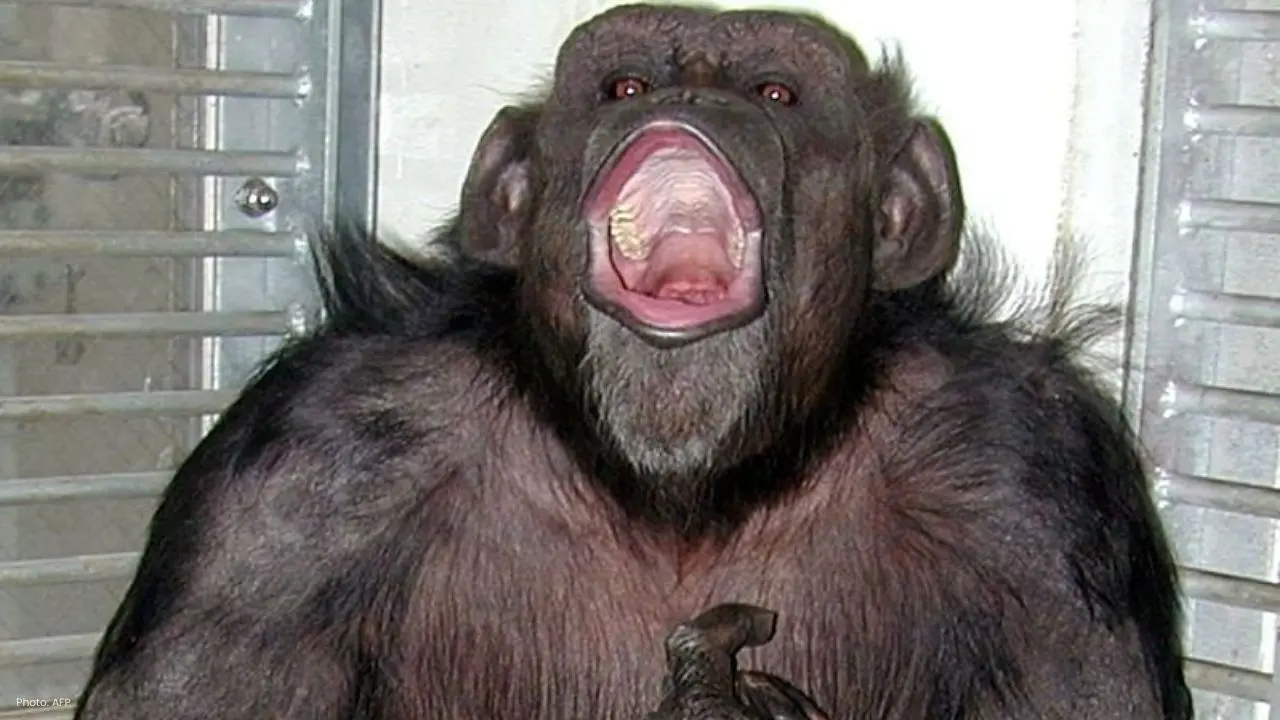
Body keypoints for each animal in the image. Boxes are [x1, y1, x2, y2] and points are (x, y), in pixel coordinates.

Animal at [73, 3, 1193, 719]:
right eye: (623, 82)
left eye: (775, 91)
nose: (690, 88)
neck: (679, 495)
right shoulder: (289, 492)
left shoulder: (1035, 495)